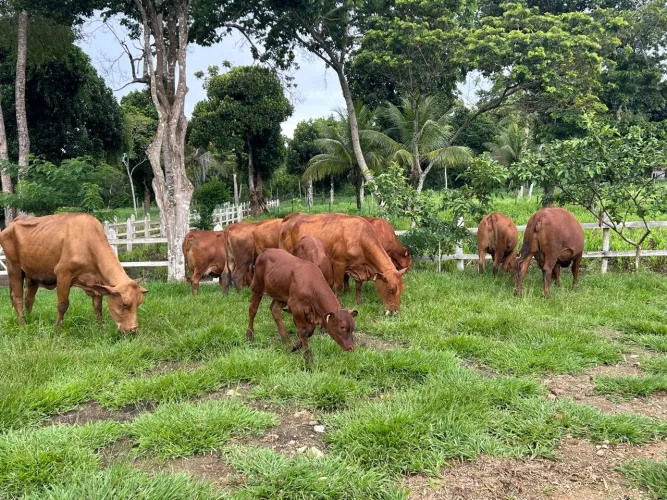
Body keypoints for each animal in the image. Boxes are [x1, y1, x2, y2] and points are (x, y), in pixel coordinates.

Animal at [0, 213, 147, 332]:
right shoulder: (63, 274)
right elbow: (62, 305)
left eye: (139, 303)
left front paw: (101, 327)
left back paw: (30, 319)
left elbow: (98, 306)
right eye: (124, 304)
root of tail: (14, 222)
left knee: (29, 299)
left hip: (33, 274)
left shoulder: (96, 281)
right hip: (14, 267)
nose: (133, 330)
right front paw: (57, 329)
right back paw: (23, 324)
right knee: (18, 298)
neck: (88, 243)